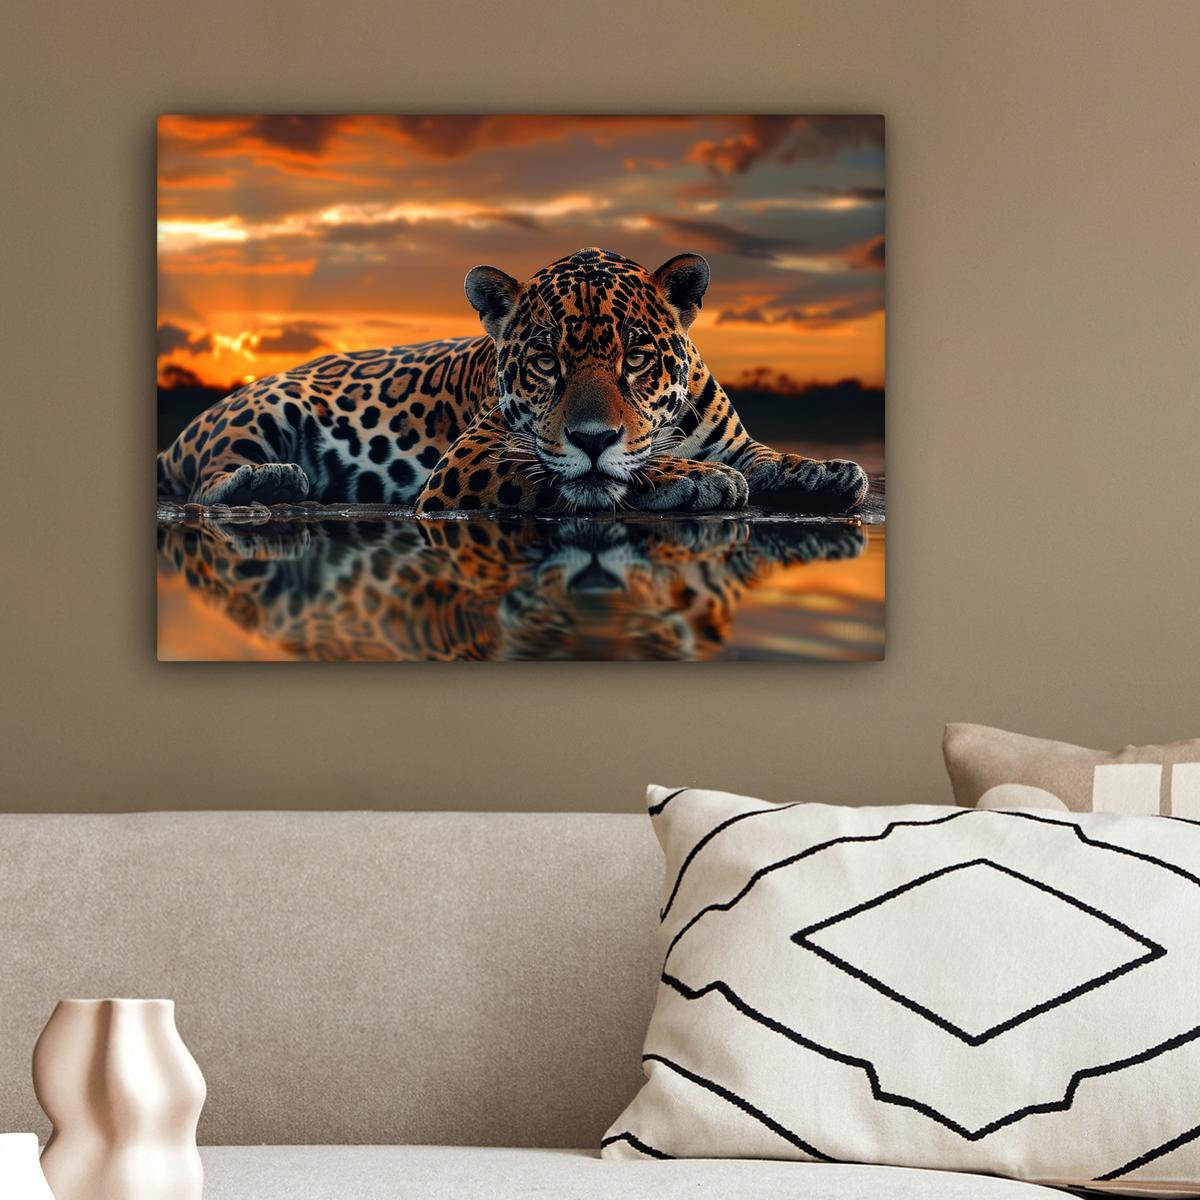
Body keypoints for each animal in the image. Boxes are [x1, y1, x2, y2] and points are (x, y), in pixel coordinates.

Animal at [157, 247, 869, 515]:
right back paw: (272, 480)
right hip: (262, 409)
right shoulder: (469, 462)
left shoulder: (735, 440)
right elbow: (598, 473)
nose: (591, 437)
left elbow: (769, 457)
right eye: (546, 363)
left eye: (636, 358)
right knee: (206, 479)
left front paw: (827, 471)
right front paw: (694, 479)